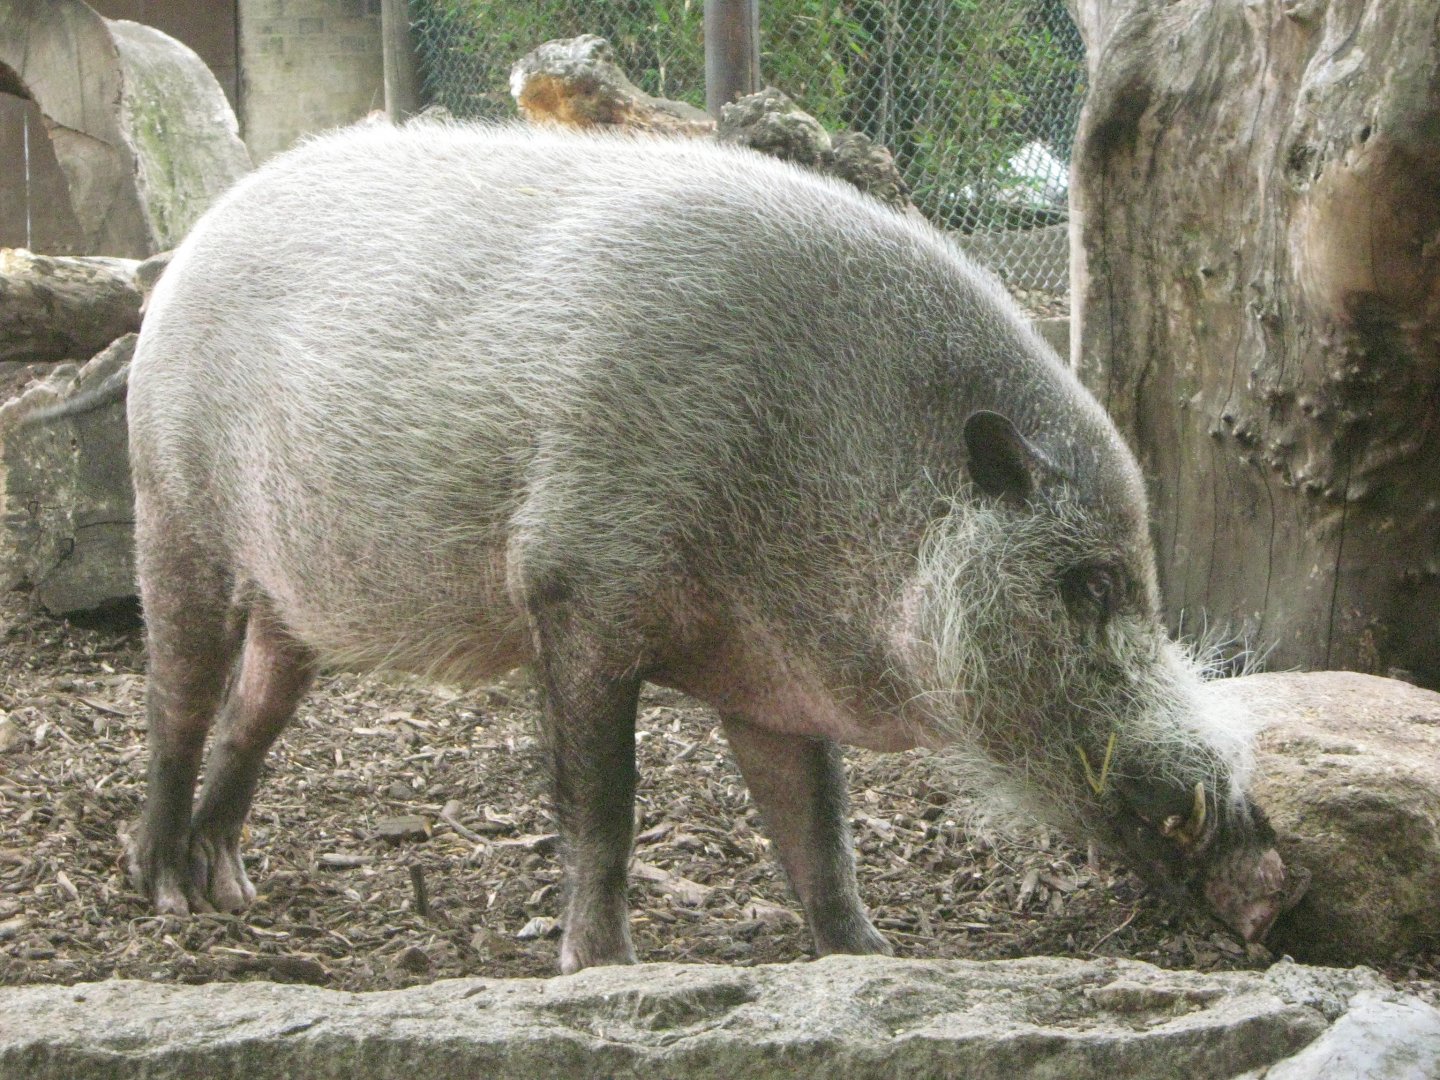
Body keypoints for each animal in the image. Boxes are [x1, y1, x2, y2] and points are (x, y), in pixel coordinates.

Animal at [126, 121, 1301, 973]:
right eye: (1090, 583)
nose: (1253, 841)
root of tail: (195, 239)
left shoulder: (772, 679)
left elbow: (817, 829)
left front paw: (877, 959)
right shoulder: (576, 585)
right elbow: (604, 803)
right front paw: (602, 970)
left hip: (292, 597)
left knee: (253, 711)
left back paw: (233, 885)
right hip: (170, 510)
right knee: (179, 706)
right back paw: (169, 895)